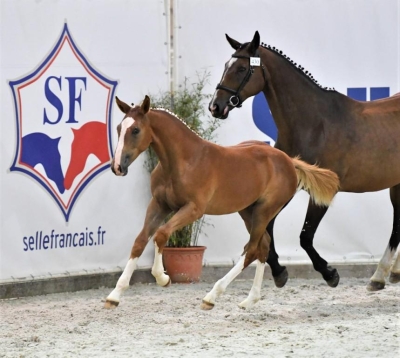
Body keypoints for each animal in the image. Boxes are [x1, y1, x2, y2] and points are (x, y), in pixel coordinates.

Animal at [104, 96, 340, 310]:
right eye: (118, 128)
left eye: (135, 130)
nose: (117, 167)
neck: (184, 161)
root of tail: (289, 160)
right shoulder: (159, 205)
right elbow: (140, 241)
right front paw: (114, 295)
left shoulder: (194, 210)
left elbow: (161, 234)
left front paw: (163, 278)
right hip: (247, 210)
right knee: (263, 245)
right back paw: (250, 300)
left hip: (265, 210)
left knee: (252, 248)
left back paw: (212, 296)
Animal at [209, 29, 400, 290]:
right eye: (226, 66)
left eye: (241, 68)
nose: (215, 106)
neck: (313, 123)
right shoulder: (288, 185)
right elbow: (266, 227)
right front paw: (279, 272)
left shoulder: (324, 191)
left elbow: (305, 236)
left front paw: (329, 273)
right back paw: (383, 275)